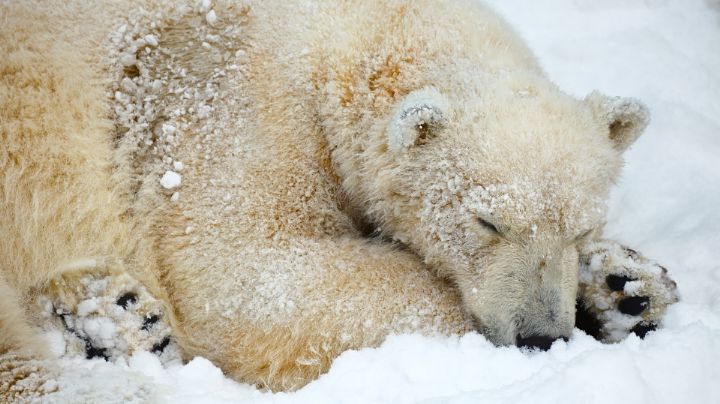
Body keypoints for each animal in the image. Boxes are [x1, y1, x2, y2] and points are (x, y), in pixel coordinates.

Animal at [0, 0, 679, 399]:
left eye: (582, 227)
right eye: (488, 222)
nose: (541, 336)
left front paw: (625, 286)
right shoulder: (229, 103)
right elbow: (245, 274)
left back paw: (113, 315)